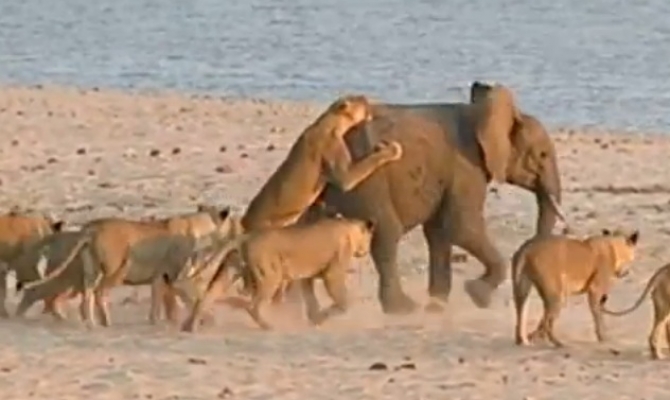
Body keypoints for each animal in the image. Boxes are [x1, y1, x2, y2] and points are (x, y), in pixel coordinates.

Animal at [17, 206, 237, 327]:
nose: (236, 231)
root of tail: (91, 227)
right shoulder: (176, 276)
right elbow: (190, 298)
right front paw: (205, 319)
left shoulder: (160, 276)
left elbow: (156, 302)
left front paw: (154, 322)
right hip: (114, 269)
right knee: (95, 293)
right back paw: (104, 322)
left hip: (89, 272)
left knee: (85, 296)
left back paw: (90, 323)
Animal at [171, 214, 376, 332]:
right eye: (370, 239)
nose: (365, 251)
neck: (349, 227)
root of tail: (246, 236)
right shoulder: (333, 274)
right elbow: (342, 303)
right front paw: (322, 317)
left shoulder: (307, 277)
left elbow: (311, 299)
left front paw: (315, 319)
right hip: (270, 277)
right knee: (252, 306)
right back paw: (268, 326)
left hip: (229, 271)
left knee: (205, 298)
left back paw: (189, 327)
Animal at [314, 81, 565, 315]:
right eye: (543, 155)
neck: (483, 112)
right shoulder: (466, 167)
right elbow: (463, 227)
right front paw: (477, 295)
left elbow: (440, 230)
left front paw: (437, 306)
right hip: (364, 178)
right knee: (386, 234)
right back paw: (403, 310)